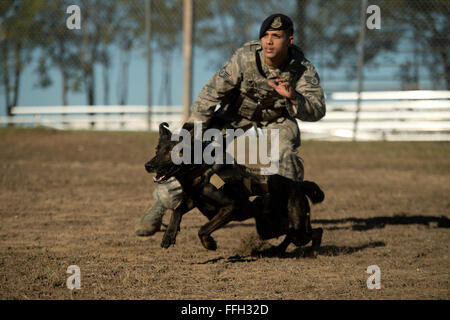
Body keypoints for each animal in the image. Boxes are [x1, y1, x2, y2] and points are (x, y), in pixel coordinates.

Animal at [146, 122, 326, 255]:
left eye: (173, 151)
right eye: (156, 149)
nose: (148, 165)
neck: (199, 169)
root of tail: (298, 185)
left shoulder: (230, 207)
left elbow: (203, 229)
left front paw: (209, 244)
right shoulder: (192, 201)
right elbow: (176, 211)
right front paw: (168, 236)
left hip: (296, 226)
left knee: (317, 231)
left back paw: (312, 251)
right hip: (269, 227)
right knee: (292, 234)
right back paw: (277, 250)